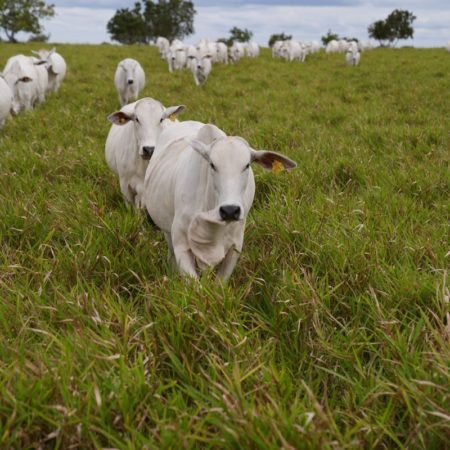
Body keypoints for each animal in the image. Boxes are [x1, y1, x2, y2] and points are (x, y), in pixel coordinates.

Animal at [142, 121, 298, 280]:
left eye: (247, 165)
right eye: (212, 165)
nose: (230, 210)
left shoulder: (235, 247)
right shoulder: (181, 245)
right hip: (167, 231)